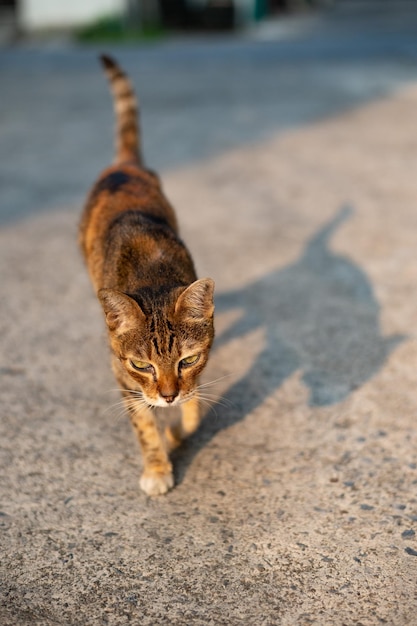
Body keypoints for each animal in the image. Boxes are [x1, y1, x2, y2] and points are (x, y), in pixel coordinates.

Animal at [78, 54, 214, 492]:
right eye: (142, 365)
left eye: (187, 360)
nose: (168, 396)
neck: (149, 273)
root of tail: (124, 164)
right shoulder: (123, 376)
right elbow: (144, 425)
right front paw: (157, 467)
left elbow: (194, 407)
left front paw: (180, 429)